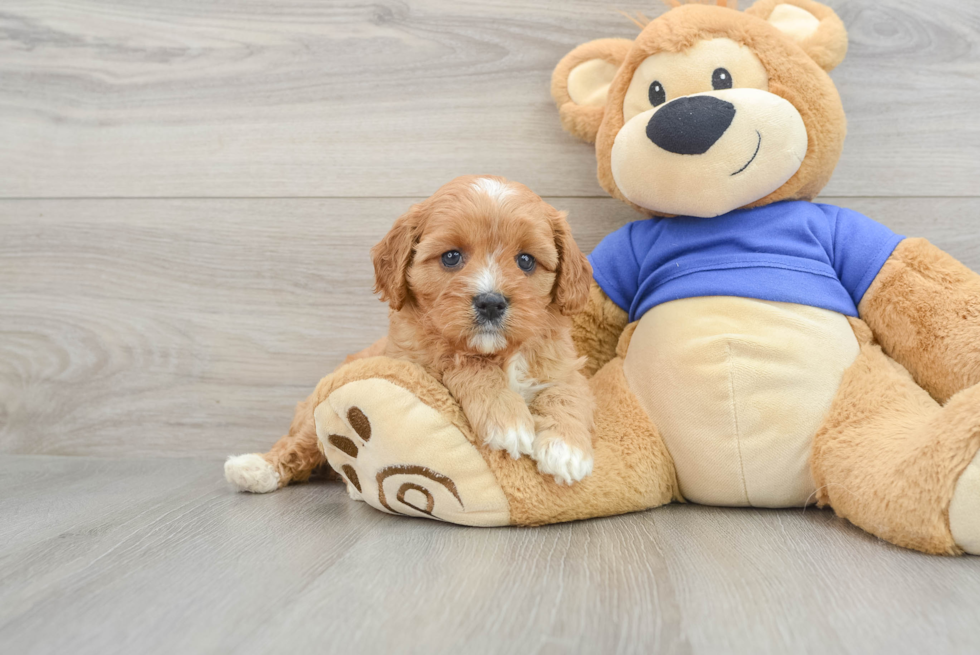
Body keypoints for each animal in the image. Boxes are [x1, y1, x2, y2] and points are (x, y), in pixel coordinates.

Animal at [372, 177, 592, 484]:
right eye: (451, 256)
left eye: (526, 260)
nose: (490, 303)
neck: (501, 353)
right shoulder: (416, 359)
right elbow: (467, 363)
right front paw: (508, 419)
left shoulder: (566, 367)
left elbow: (566, 392)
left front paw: (567, 447)